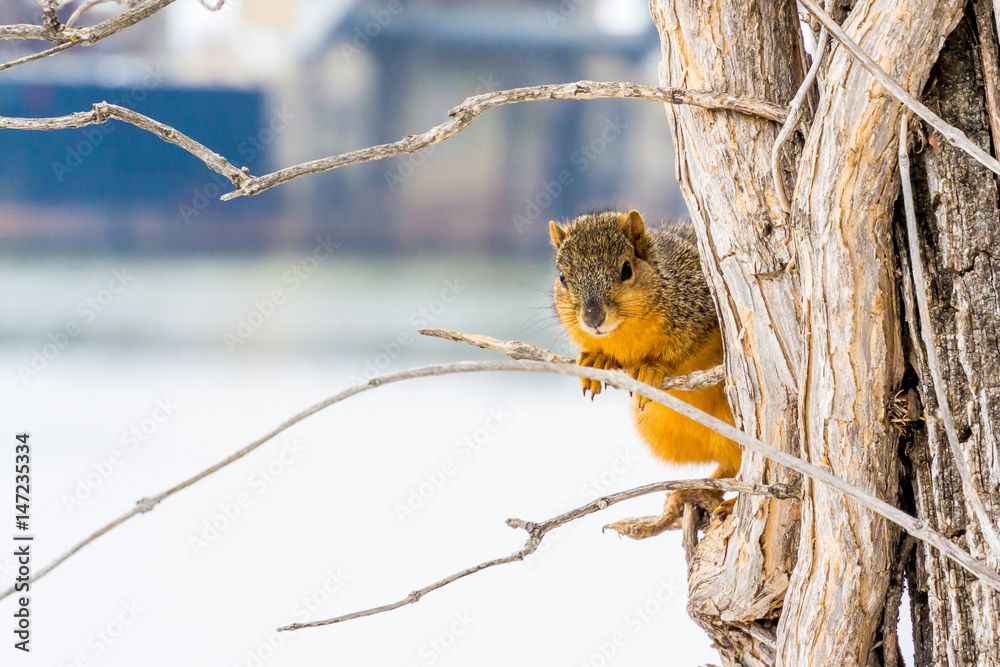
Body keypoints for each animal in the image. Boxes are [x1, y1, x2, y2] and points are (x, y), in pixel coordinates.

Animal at [549, 209, 741, 539]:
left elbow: (682, 347)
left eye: (626, 269)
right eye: (563, 277)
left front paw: (652, 367)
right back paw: (691, 494)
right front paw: (597, 359)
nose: (593, 318)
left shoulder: (700, 299)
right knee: (729, 466)